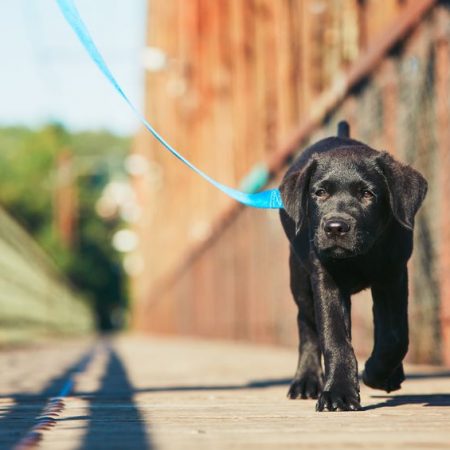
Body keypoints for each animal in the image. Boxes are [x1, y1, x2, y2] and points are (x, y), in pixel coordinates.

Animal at [280, 122, 428, 412]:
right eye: (320, 193)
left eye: (367, 194)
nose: (335, 227)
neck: (360, 256)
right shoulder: (325, 278)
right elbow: (334, 336)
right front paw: (338, 392)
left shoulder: (393, 275)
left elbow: (395, 335)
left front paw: (376, 373)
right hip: (299, 278)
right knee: (306, 324)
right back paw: (306, 381)